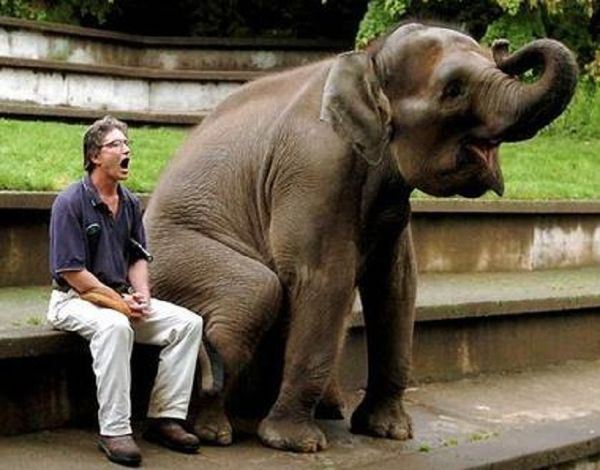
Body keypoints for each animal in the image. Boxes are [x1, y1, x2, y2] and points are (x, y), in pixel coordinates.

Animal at [143, 21, 580, 452]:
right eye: (454, 90)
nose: (505, 45)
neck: (367, 59)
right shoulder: (314, 167)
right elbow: (324, 278)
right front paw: (297, 444)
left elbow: (396, 285)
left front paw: (389, 431)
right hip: (172, 259)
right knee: (255, 290)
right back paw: (212, 432)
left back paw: (324, 408)